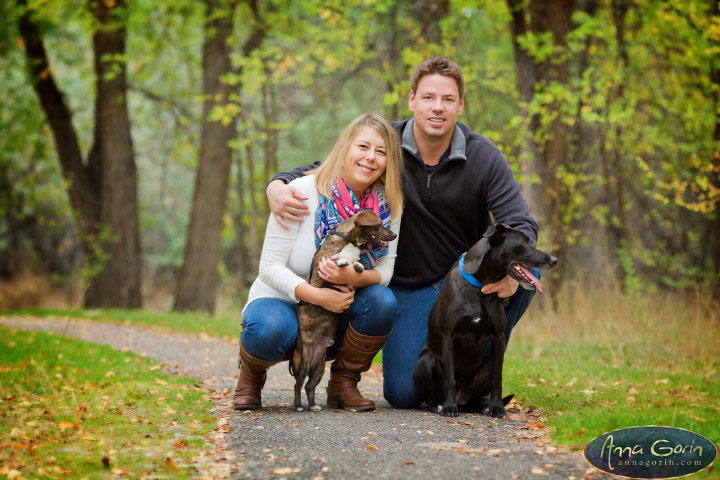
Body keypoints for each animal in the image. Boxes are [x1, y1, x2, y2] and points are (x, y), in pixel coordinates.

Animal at [290, 210, 396, 412]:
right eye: (379, 225)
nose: (394, 235)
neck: (350, 242)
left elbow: (359, 266)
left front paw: (358, 265)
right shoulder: (320, 276)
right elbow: (338, 262)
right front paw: (341, 261)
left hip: (319, 367)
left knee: (310, 386)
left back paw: (313, 406)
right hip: (304, 361)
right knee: (298, 384)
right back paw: (298, 406)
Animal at [410, 224, 556, 416]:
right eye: (524, 243)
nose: (554, 260)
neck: (478, 287)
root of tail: (462, 400)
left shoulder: (498, 336)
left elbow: (497, 380)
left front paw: (496, 407)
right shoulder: (449, 335)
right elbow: (450, 378)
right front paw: (449, 407)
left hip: (488, 363)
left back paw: (483, 407)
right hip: (424, 362)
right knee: (431, 395)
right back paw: (439, 405)